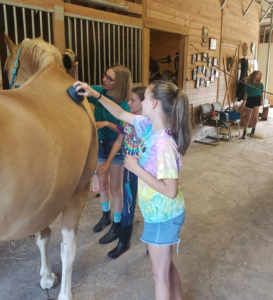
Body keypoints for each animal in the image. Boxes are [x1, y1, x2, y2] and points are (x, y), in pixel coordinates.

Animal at [0, 33, 96, 300]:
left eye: (5, 69)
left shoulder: (56, 195)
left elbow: (54, 243)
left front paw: (49, 279)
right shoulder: (63, 194)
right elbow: (60, 245)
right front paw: (49, 278)